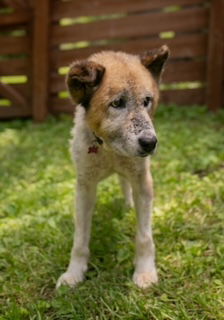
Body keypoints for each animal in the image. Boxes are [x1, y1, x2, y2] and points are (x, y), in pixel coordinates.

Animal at [56, 46, 170, 288]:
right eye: (117, 103)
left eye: (147, 100)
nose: (150, 142)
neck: (110, 150)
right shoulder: (85, 187)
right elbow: (80, 240)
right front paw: (74, 273)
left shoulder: (143, 182)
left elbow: (144, 237)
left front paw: (145, 272)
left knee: (125, 184)